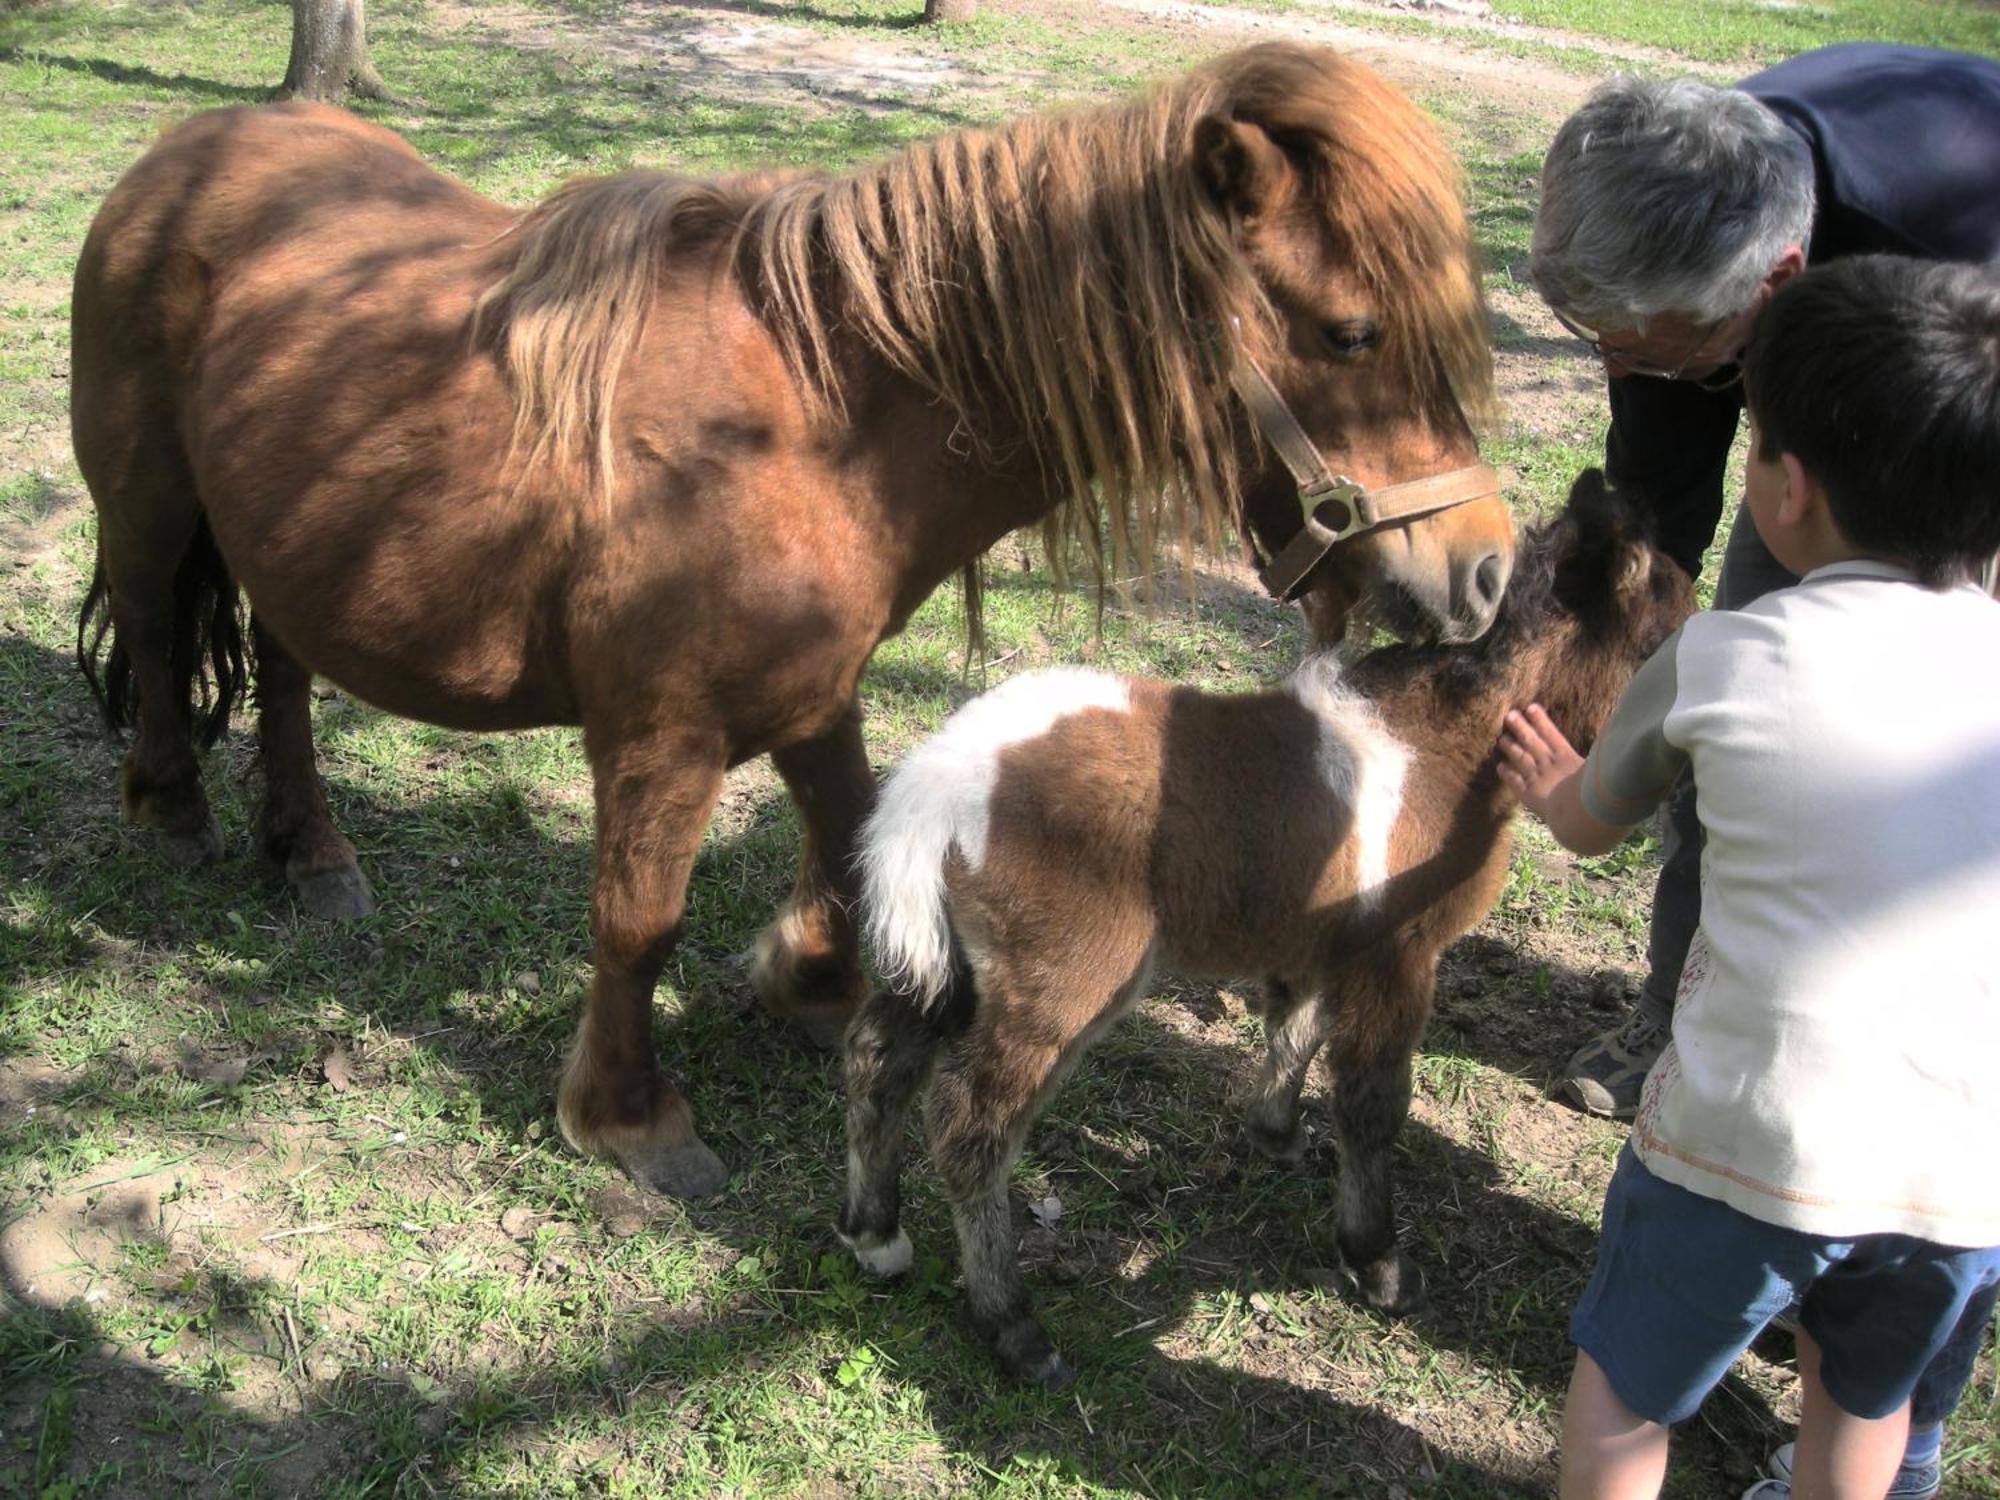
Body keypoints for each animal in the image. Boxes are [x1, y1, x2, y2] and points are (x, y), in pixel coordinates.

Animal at [70, 41, 1504, 1208]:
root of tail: (185, 151)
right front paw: (630, 1119)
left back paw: (310, 853)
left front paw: (809, 983)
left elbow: (853, 834)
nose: (1486, 571)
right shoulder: (663, 735)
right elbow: (637, 917)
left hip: (287, 543)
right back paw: (174, 811)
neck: (815, 425)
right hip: (148, 506)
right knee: (156, 633)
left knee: (282, 672)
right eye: (1352, 331)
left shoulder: (813, 692)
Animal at [836, 476, 1696, 1392]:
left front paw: (1277, 1135)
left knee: (878, 1057)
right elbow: (1373, 1102)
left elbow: (1297, 1032)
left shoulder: (1320, 945)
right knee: (972, 1126)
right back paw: (1012, 1325)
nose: (1680, 785)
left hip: (952, 971)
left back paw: (876, 1237)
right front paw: (1378, 1263)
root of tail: (935, 786)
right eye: (1662, 646)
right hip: (1063, 983)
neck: (1438, 746)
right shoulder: (1399, 957)